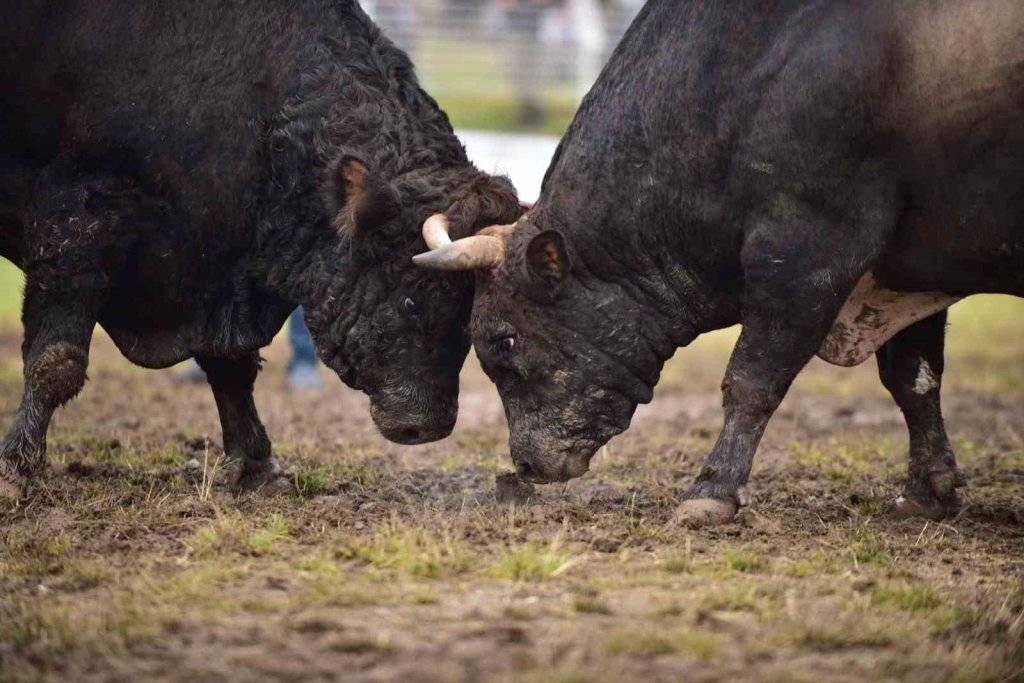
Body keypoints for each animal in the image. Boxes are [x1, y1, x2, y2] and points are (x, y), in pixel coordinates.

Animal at [0, 1, 524, 501]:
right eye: (413, 295)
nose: (428, 426)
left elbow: (232, 367)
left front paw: (256, 466)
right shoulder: (74, 224)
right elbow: (56, 361)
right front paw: (17, 468)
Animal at [415, 0, 1024, 524]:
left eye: (503, 340)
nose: (525, 464)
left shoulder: (806, 253)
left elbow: (752, 379)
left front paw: (711, 492)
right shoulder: (907, 274)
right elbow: (914, 378)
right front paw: (927, 491)